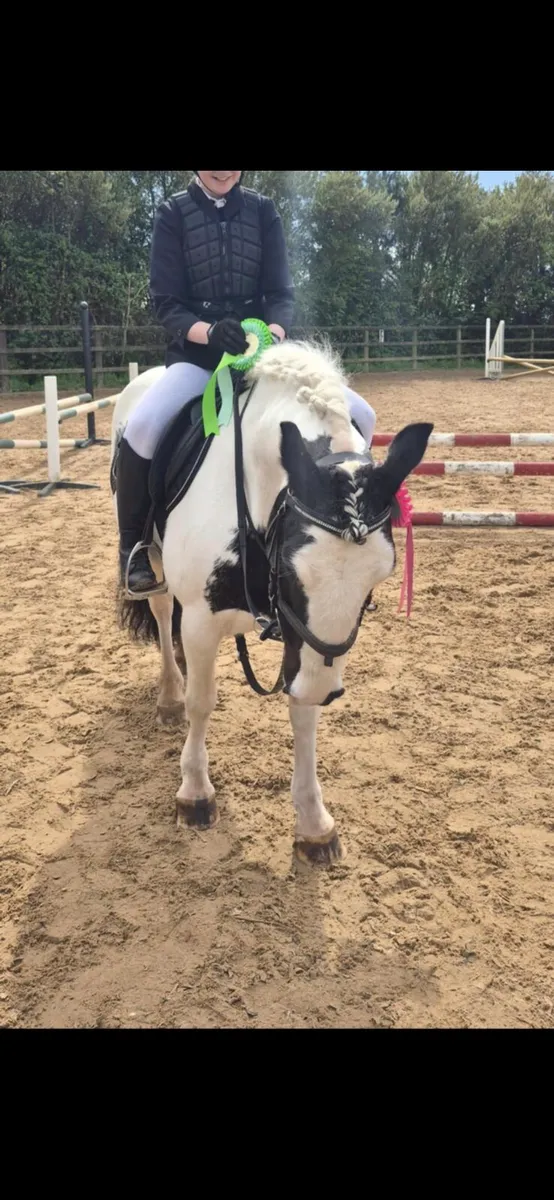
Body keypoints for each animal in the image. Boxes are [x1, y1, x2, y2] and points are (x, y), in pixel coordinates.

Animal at [110, 338, 432, 866]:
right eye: (289, 570)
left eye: (378, 577)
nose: (325, 688)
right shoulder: (202, 620)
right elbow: (202, 702)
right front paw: (195, 794)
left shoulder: (304, 645)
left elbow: (303, 714)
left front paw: (314, 826)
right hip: (153, 564)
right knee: (161, 616)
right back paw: (170, 695)